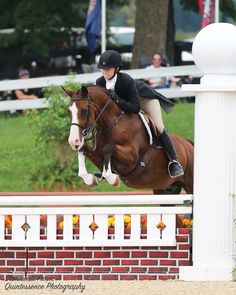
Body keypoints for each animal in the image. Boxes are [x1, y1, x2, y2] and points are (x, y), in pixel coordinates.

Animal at [63, 84, 194, 195]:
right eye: (68, 111)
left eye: (84, 110)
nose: (73, 141)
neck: (112, 125)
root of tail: (189, 144)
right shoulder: (100, 159)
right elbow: (83, 149)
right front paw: (90, 179)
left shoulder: (131, 159)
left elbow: (108, 148)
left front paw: (113, 179)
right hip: (164, 189)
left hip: (189, 184)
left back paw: (176, 167)